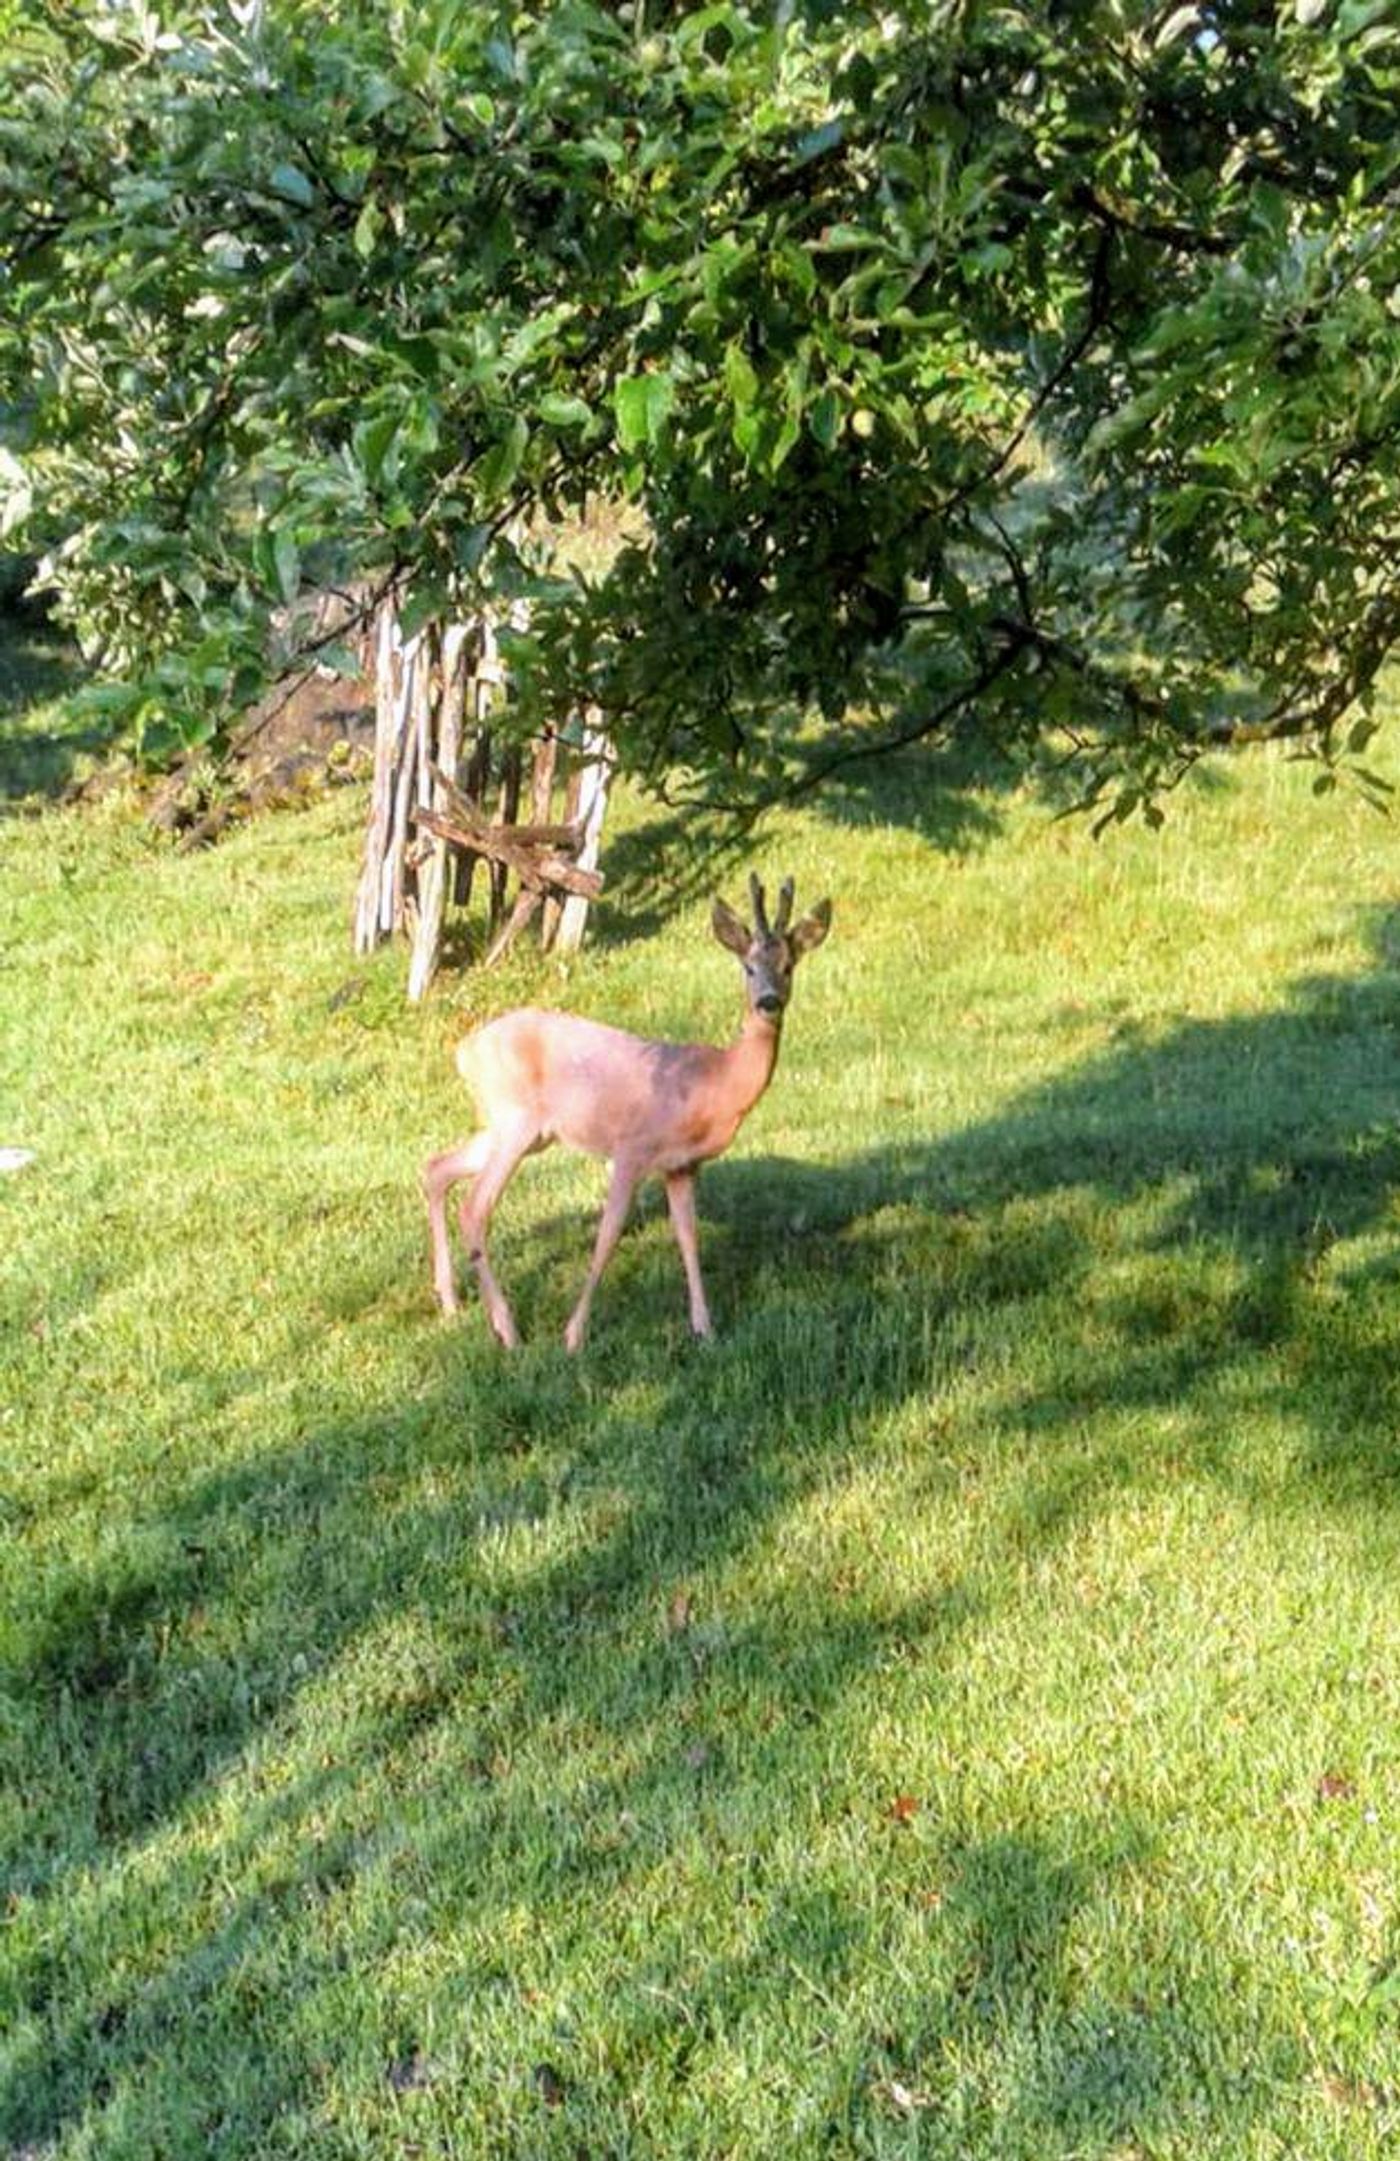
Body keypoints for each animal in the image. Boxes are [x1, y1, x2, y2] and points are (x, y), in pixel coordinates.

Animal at [421, 864, 825, 1339]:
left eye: (788, 966)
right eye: (747, 967)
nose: (769, 1002)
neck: (713, 1082)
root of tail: (463, 1050)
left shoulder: (682, 1166)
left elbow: (688, 1237)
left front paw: (705, 1328)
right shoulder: (631, 1148)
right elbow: (608, 1236)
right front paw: (573, 1335)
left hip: (520, 1129)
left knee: (436, 1168)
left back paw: (450, 1302)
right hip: (515, 1121)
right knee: (475, 1208)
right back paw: (507, 1329)